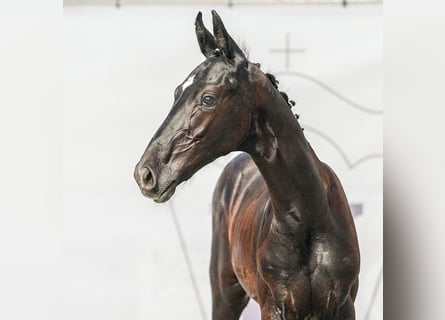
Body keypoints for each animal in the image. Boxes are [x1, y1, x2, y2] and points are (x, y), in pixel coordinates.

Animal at [134, 10, 360, 320]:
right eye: (177, 91)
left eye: (208, 98)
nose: (146, 173)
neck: (309, 220)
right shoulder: (272, 306)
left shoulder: (344, 305)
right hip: (225, 292)